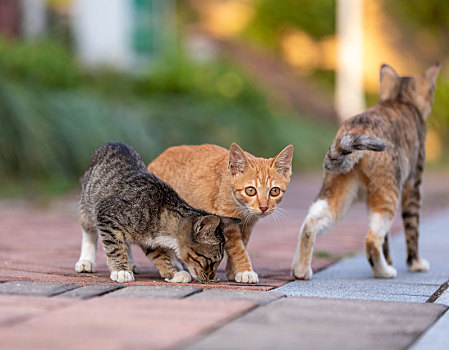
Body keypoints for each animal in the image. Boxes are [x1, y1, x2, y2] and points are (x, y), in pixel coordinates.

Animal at [76, 144, 238, 284]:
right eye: (211, 261)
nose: (211, 278)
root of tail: (114, 143)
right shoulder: (107, 215)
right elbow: (115, 247)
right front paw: (121, 270)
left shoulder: (148, 240)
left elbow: (159, 255)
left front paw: (172, 273)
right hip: (87, 204)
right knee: (89, 231)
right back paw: (86, 261)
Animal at [148, 144, 294, 284]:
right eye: (250, 190)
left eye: (274, 191)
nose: (264, 207)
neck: (242, 209)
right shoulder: (226, 221)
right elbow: (237, 248)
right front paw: (245, 271)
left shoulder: (247, 225)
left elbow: (243, 243)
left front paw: (233, 271)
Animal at [288, 63, 440, 278]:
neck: (398, 98)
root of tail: (357, 128)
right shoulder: (414, 184)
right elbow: (412, 226)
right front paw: (416, 264)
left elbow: (387, 239)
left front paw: (391, 259)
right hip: (387, 192)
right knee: (371, 239)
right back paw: (384, 271)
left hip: (338, 191)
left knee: (311, 222)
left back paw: (301, 271)